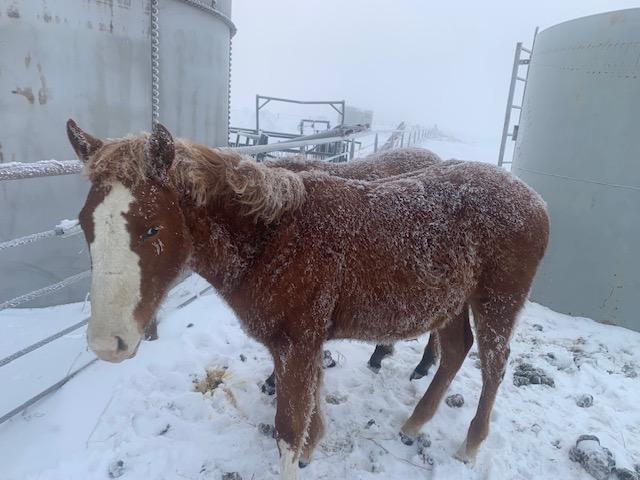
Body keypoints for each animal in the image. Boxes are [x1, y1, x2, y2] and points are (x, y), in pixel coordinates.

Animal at [69, 121, 552, 480]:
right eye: (84, 224)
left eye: (151, 228)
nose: (107, 343)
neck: (274, 238)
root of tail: (533, 198)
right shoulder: (300, 344)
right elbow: (309, 413)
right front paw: (311, 447)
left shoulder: (298, 343)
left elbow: (288, 429)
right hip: (451, 301)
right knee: (454, 351)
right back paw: (414, 423)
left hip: (497, 300)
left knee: (494, 363)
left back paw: (470, 444)